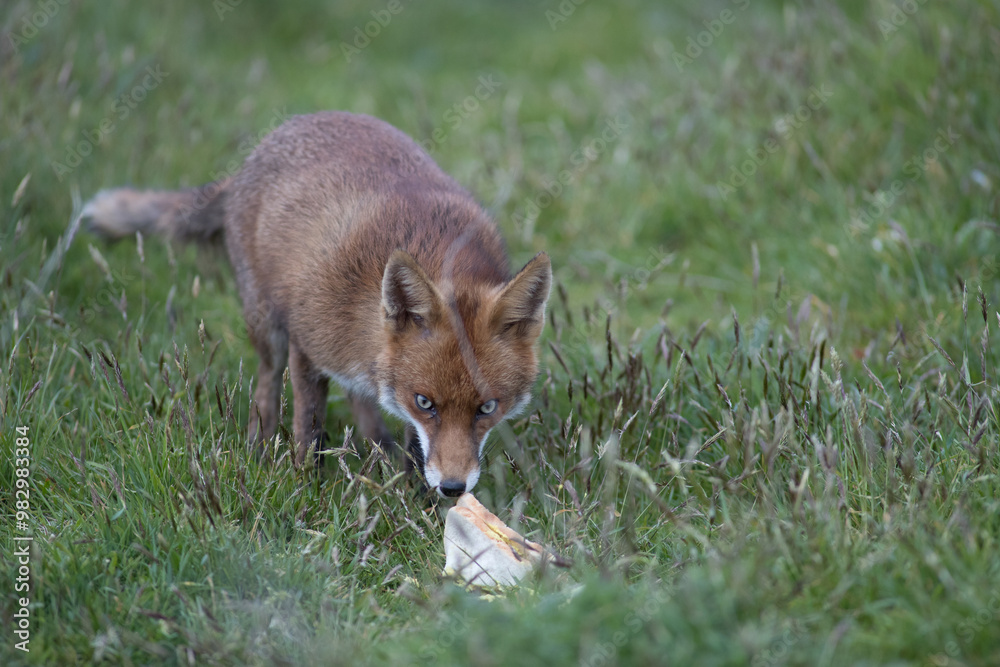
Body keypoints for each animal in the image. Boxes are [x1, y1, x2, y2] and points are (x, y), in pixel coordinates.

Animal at [83, 111, 551, 498]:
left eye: (487, 408)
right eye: (426, 403)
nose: (453, 488)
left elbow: (410, 443)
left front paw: (413, 494)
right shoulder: (307, 347)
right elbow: (308, 429)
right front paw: (304, 487)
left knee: (362, 400)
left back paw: (377, 450)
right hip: (267, 325)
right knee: (268, 385)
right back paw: (260, 447)